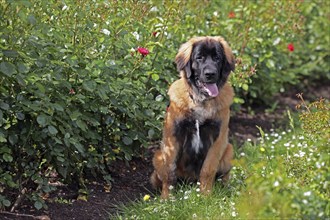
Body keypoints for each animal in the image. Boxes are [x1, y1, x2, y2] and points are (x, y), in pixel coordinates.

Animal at [151, 36, 236, 199]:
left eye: (217, 58)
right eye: (199, 57)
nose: (210, 74)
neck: (201, 101)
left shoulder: (218, 138)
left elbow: (208, 169)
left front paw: (205, 195)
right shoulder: (173, 136)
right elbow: (170, 172)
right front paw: (167, 198)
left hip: (229, 151)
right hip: (158, 157)